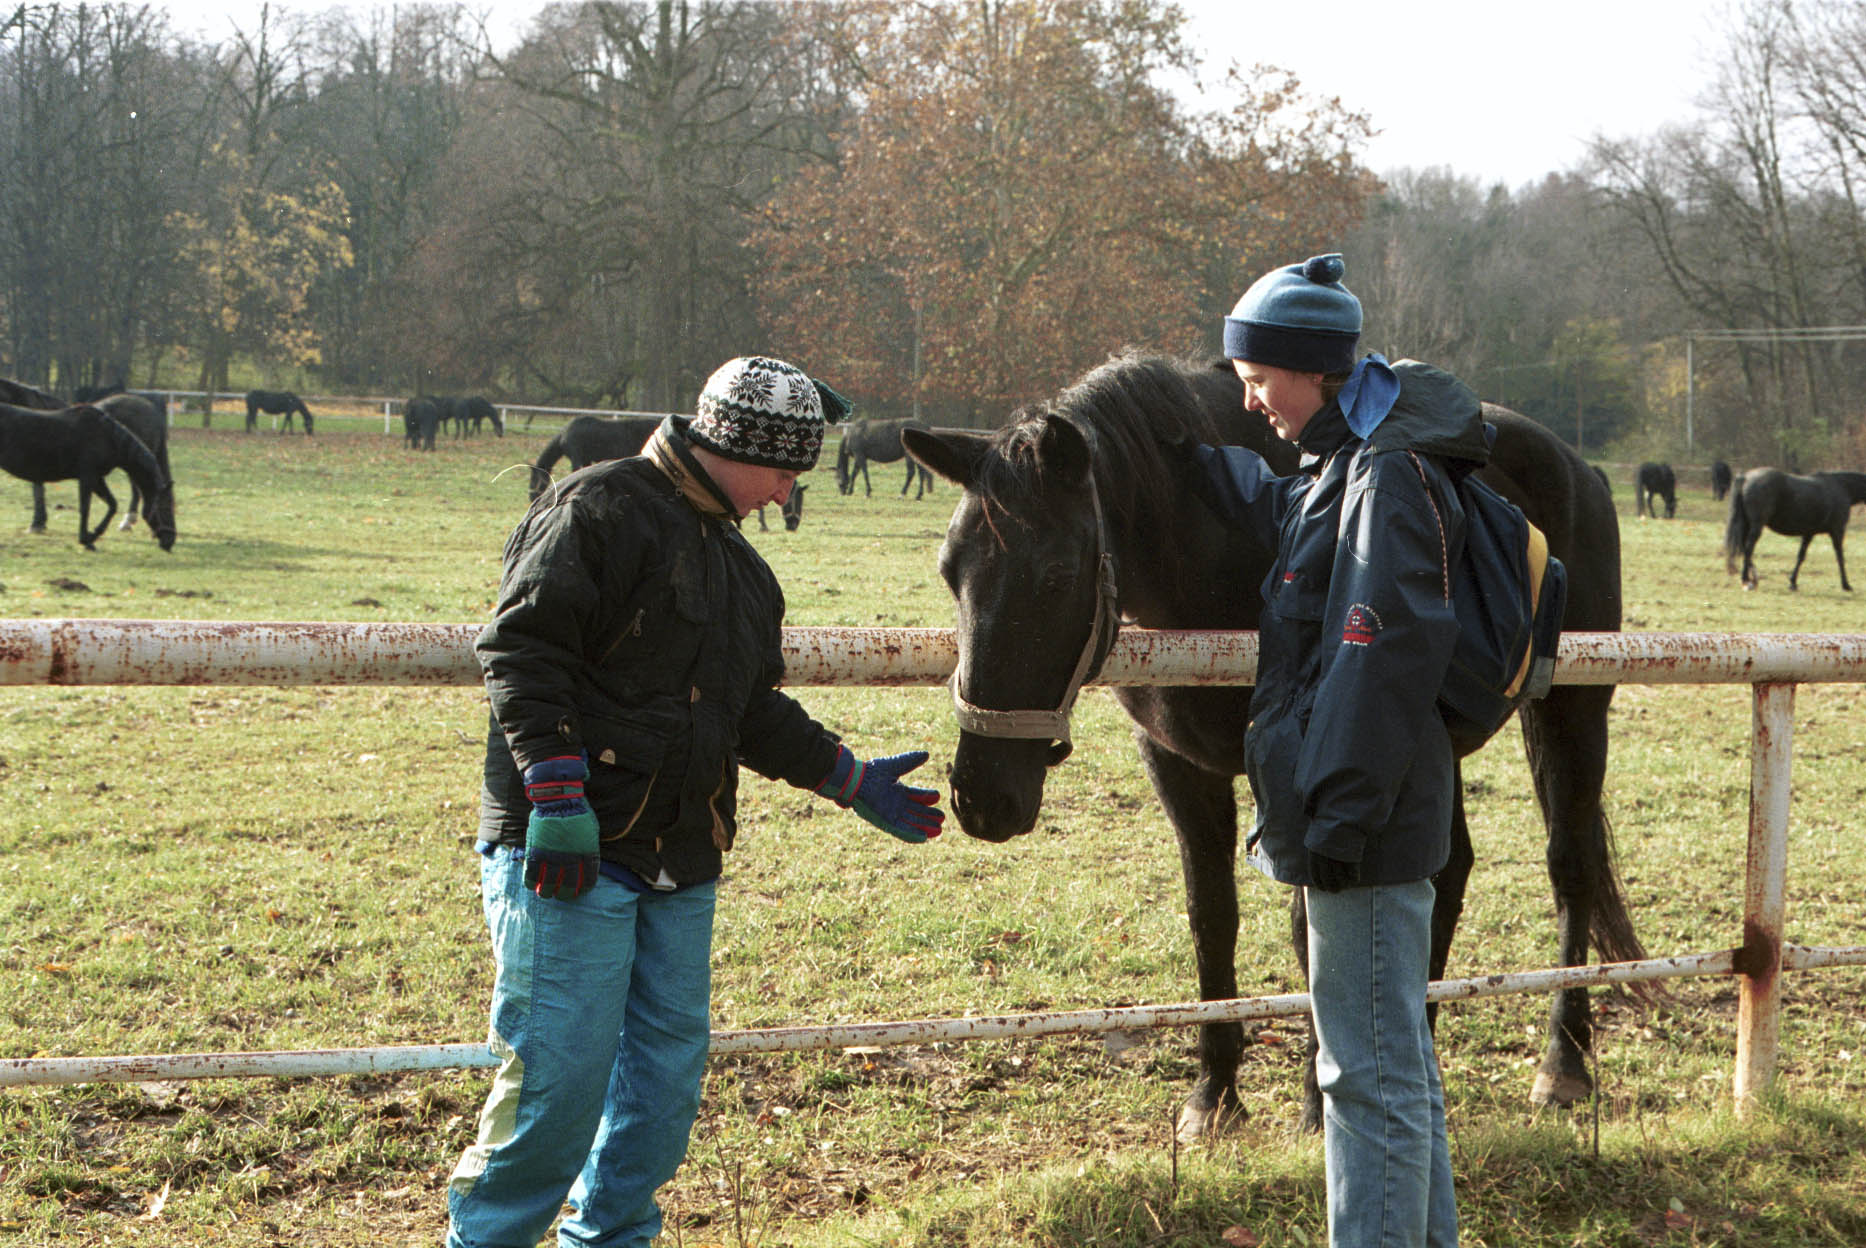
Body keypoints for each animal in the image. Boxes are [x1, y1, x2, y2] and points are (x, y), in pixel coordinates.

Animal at [1, 401, 175, 548]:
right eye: (165, 508)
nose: (170, 541)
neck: (107, 437)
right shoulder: (87, 477)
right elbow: (85, 508)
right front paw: (86, 539)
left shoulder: (97, 478)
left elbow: (112, 504)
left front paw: (94, 534)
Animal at [895, 350, 1642, 1141]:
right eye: (950, 569)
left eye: (1057, 575)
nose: (982, 797)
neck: (1209, 561)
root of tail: (1579, 470)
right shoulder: (1179, 766)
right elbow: (1211, 915)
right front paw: (1214, 1093)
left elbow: (1308, 927)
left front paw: (1318, 1101)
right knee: (1449, 872)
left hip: (1572, 714)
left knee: (1569, 868)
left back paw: (1563, 1061)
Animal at [1716, 466, 1866, 589]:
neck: (1842, 487)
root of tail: (1746, 477)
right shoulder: (1837, 531)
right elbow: (1840, 556)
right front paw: (1846, 584)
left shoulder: (1809, 533)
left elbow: (1801, 556)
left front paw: (1793, 582)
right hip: (1756, 526)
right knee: (1748, 549)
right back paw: (1746, 580)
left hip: (1746, 524)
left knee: (1744, 548)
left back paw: (1753, 578)